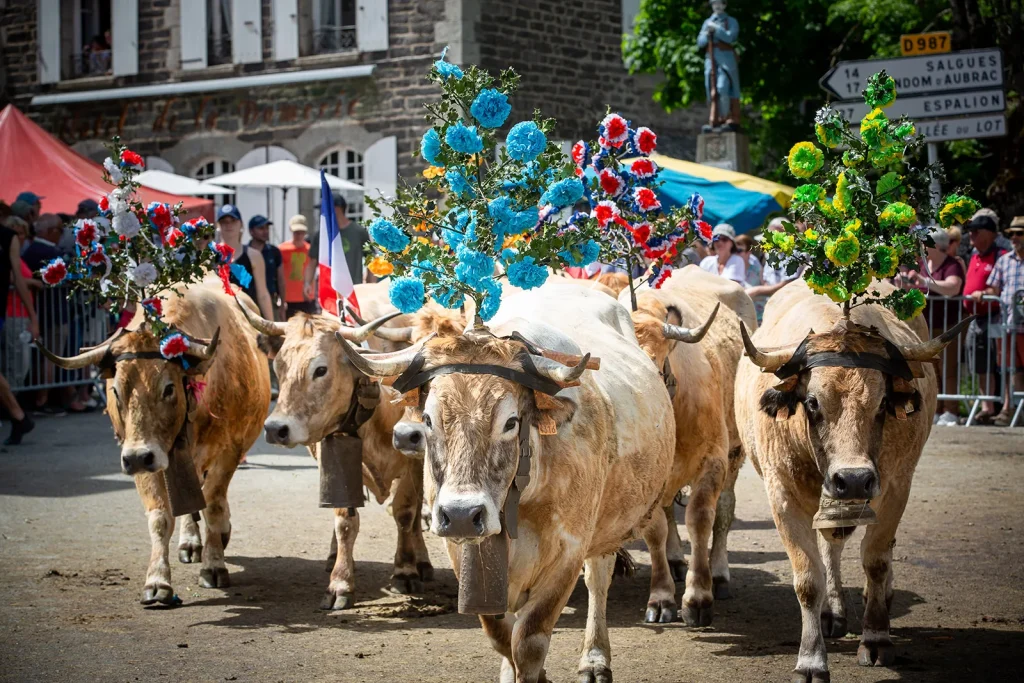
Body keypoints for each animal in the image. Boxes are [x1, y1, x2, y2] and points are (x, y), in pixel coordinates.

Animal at [38, 280, 272, 606]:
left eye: (168, 388)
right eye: (116, 390)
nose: (137, 458)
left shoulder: (229, 450)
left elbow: (212, 504)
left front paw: (214, 565)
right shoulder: (143, 456)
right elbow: (161, 517)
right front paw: (157, 581)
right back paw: (190, 542)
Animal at [237, 305, 434, 610]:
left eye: (320, 369)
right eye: (278, 366)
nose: (275, 429)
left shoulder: (412, 462)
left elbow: (405, 514)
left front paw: (405, 570)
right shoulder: (334, 460)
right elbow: (344, 521)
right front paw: (340, 582)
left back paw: (421, 561)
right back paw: (333, 557)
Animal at [337, 284, 720, 683]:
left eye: (510, 422)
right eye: (428, 419)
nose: (461, 515)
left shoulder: (568, 552)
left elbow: (530, 640)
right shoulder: (464, 553)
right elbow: (501, 635)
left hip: (608, 527)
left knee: (598, 582)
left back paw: (595, 660)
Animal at [737, 280, 966, 679]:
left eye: (883, 402)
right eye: (812, 402)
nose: (854, 479)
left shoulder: (895, 488)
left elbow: (876, 559)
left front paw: (876, 638)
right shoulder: (782, 495)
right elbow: (807, 578)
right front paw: (811, 659)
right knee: (831, 544)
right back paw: (832, 612)